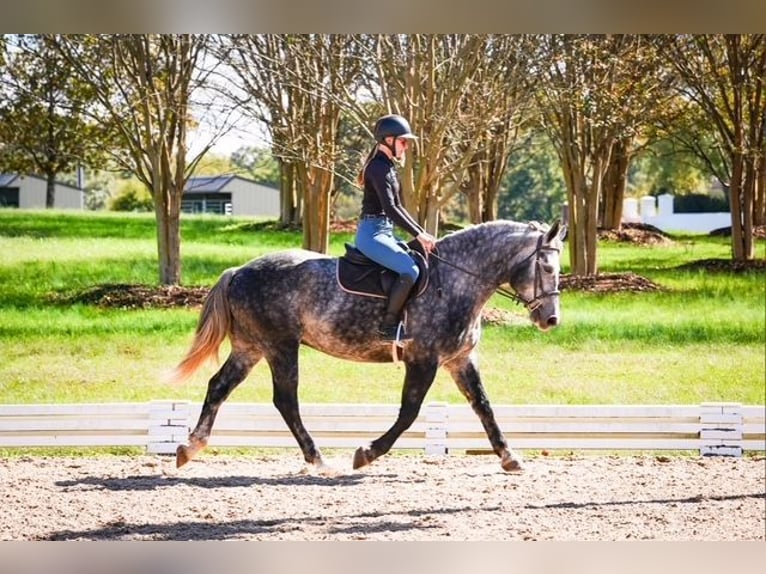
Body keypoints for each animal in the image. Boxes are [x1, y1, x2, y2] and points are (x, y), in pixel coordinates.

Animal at [168, 219, 566, 474]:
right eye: (547, 268)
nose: (551, 320)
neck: (456, 280)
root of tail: (238, 271)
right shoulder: (424, 359)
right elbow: (409, 413)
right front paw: (367, 453)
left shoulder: (461, 360)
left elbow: (484, 407)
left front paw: (509, 456)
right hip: (281, 347)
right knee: (285, 400)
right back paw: (318, 459)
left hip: (251, 347)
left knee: (219, 387)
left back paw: (189, 447)